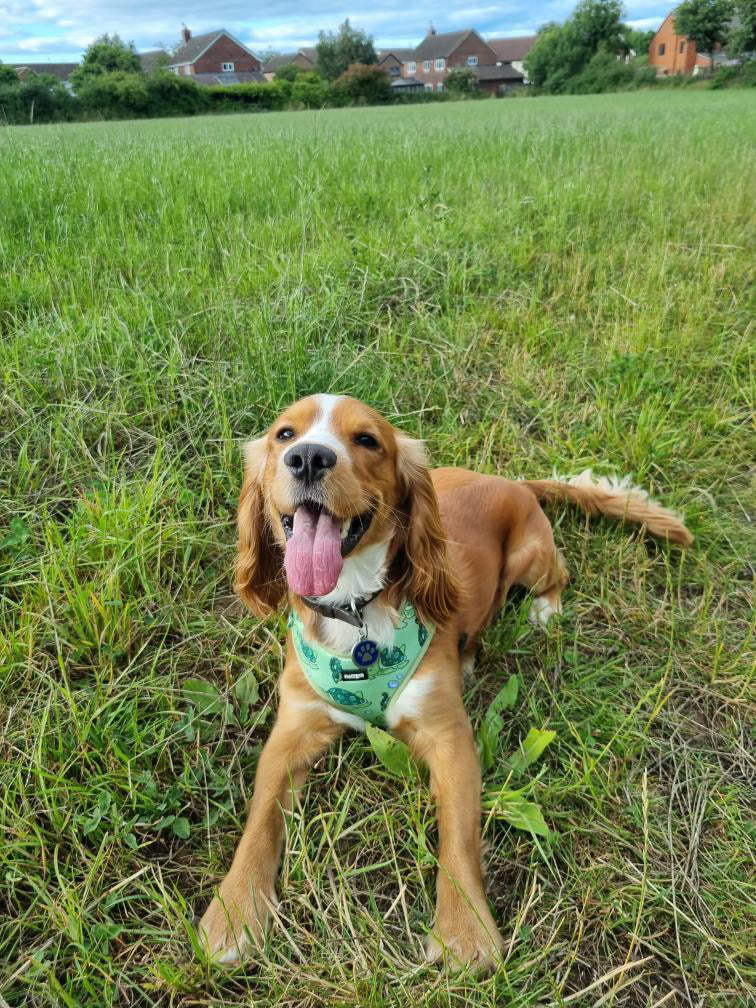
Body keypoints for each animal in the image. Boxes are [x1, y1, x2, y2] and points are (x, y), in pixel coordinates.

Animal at [198, 393, 697, 967]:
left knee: (558, 573)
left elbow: (457, 835)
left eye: (367, 440)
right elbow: (259, 820)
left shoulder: (450, 738)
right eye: (284, 434)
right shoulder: (292, 732)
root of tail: (512, 480)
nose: (307, 458)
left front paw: (465, 931)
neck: (356, 609)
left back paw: (541, 613)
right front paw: (233, 912)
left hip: (530, 558)